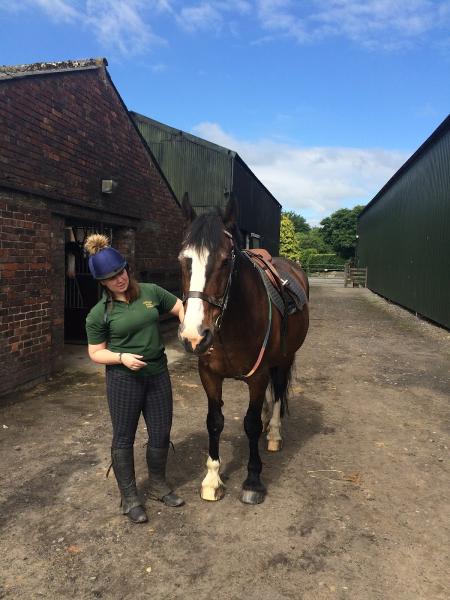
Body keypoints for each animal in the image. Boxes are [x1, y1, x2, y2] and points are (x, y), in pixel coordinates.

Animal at [178, 195, 310, 504]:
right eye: (183, 260)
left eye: (225, 261)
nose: (193, 336)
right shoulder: (209, 375)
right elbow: (214, 421)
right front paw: (212, 479)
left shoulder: (258, 376)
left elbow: (249, 424)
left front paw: (252, 481)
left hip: (284, 359)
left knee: (278, 392)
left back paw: (273, 433)